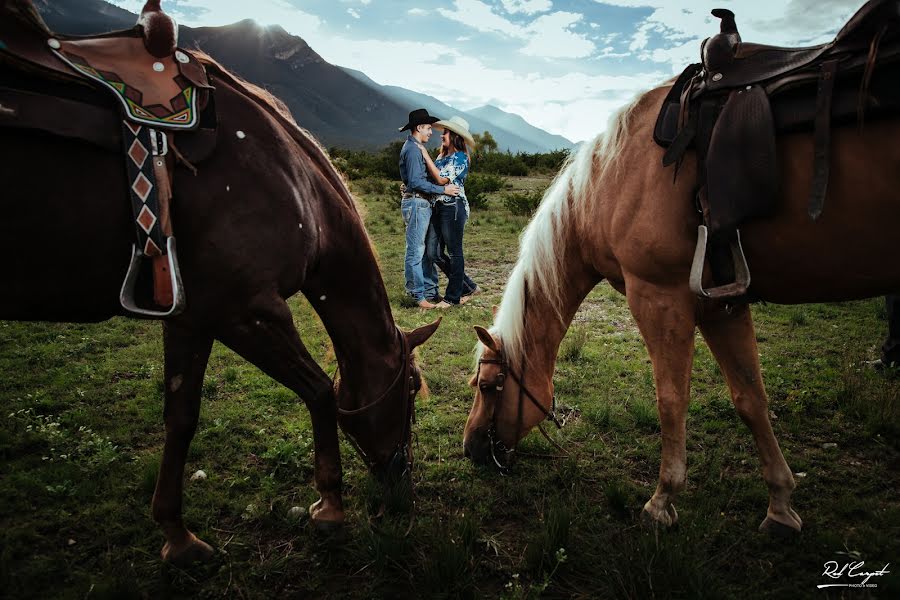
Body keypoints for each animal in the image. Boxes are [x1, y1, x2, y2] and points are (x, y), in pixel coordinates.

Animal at [0, 0, 438, 564]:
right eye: (411, 387)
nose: (402, 480)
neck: (293, 184)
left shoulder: (192, 316)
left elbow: (181, 416)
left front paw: (176, 534)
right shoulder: (247, 311)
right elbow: (320, 391)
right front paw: (329, 505)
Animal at [464, 2, 900, 536]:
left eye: (488, 385)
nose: (471, 449)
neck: (611, 179)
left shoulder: (660, 295)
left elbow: (671, 399)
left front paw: (662, 500)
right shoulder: (722, 305)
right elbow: (750, 398)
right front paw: (779, 505)